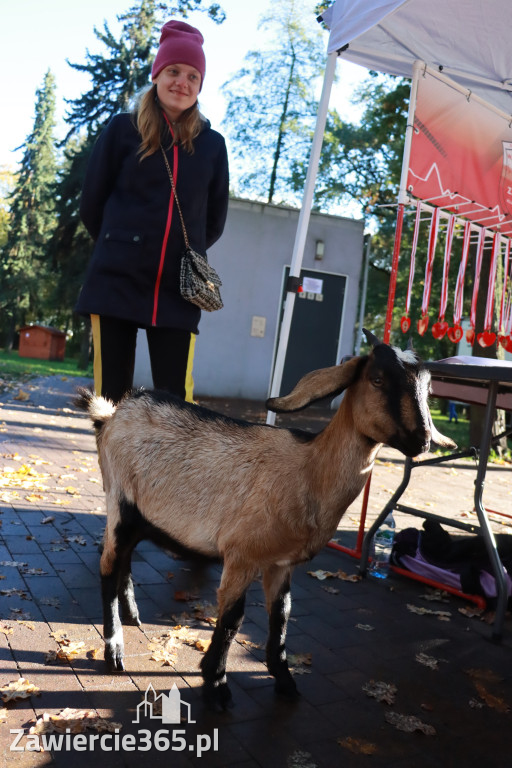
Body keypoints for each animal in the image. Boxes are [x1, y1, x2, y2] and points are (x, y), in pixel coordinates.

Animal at [75, 332, 452, 712]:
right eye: (377, 379)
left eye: (428, 388)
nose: (422, 440)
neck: (309, 470)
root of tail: (113, 413)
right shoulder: (242, 555)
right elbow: (232, 618)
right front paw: (216, 684)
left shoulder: (281, 564)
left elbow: (282, 615)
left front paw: (284, 679)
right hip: (119, 502)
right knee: (107, 568)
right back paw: (114, 650)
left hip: (140, 516)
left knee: (124, 561)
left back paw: (132, 614)